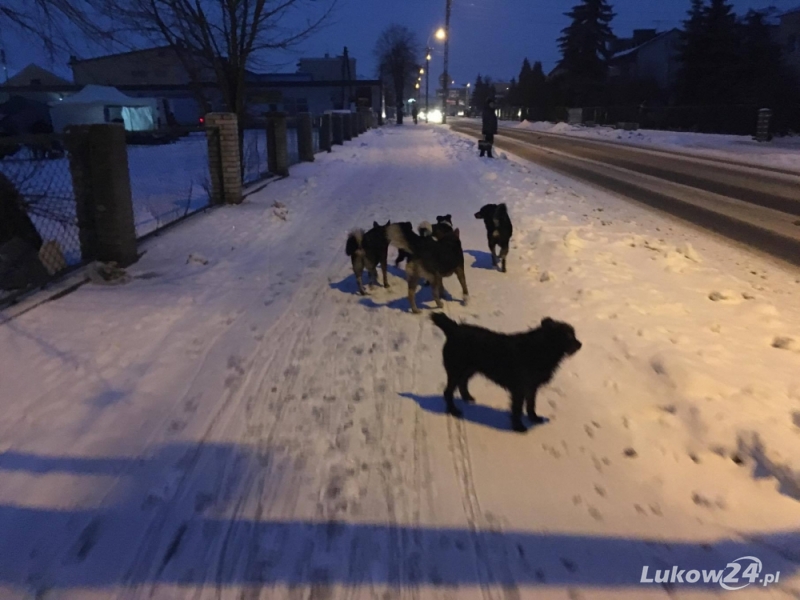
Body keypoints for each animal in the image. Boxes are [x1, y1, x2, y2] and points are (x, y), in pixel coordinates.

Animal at [432, 314, 580, 432]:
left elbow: (531, 404)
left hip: (469, 369)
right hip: (455, 370)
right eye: (568, 335)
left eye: (573, 333)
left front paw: (534, 418)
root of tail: (453, 329)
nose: (580, 345)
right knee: (448, 392)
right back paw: (453, 410)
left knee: (463, 383)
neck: (541, 348)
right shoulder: (520, 389)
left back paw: (467, 397)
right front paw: (518, 427)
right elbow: (517, 409)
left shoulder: (531, 387)